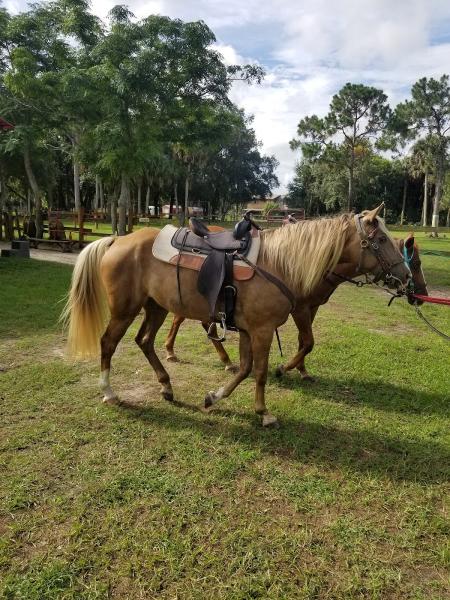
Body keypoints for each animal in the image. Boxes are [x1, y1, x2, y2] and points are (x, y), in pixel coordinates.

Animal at [165, 234, 428, 380]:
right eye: (415, 262)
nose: (422, 295)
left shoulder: (311, 307)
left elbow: (304, 341)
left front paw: (302, 370)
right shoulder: (300, 308)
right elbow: (308, 341)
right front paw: (284, 368)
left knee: (193, 321)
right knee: (187, 320)